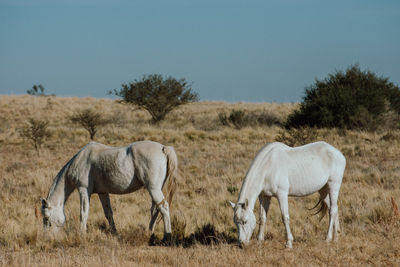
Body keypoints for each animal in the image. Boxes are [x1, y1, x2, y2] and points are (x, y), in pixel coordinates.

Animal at [40, 140, 177, 241]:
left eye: (46, 218)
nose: (47, 238)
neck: (81, 160)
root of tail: (164, 148)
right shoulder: (102, 193)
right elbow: (108, 213)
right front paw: (115, 233)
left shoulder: (83, 190)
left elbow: (83, 212)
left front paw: (82, 234)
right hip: (155, 189)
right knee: (156, 209)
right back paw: (149, 232)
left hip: (153, 188)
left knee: (163, 207)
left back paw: (167, 236)